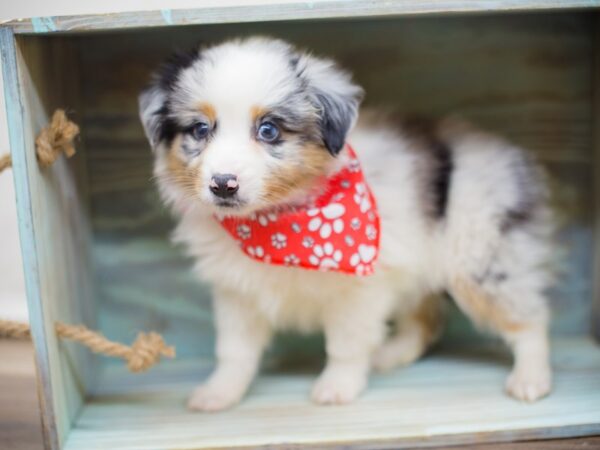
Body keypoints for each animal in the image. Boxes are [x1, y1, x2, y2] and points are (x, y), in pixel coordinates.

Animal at [139, 37, 552, 412]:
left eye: (269, 130)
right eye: (200, 130)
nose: (223, 184)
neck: (277, 224)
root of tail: (511, 154)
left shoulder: (359, 290)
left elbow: (345, 345)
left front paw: (337, 387)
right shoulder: (236, 292)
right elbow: (234, 351)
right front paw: (219, 393)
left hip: (481, 261)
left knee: (530, 319)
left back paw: (531, 379)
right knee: (426, 319)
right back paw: (392, 353)